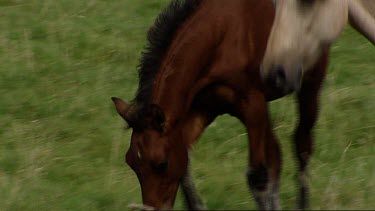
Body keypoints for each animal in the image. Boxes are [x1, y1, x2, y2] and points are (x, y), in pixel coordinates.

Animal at [112, 0, 332, 209]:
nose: (153, 207)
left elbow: (258, 176)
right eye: (131, 162)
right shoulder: (203, 109)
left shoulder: (252, 103)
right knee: (276, 154)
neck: (221, 35)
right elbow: (185, 163)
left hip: (310, 83)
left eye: (161, 164)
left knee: (302, 145)